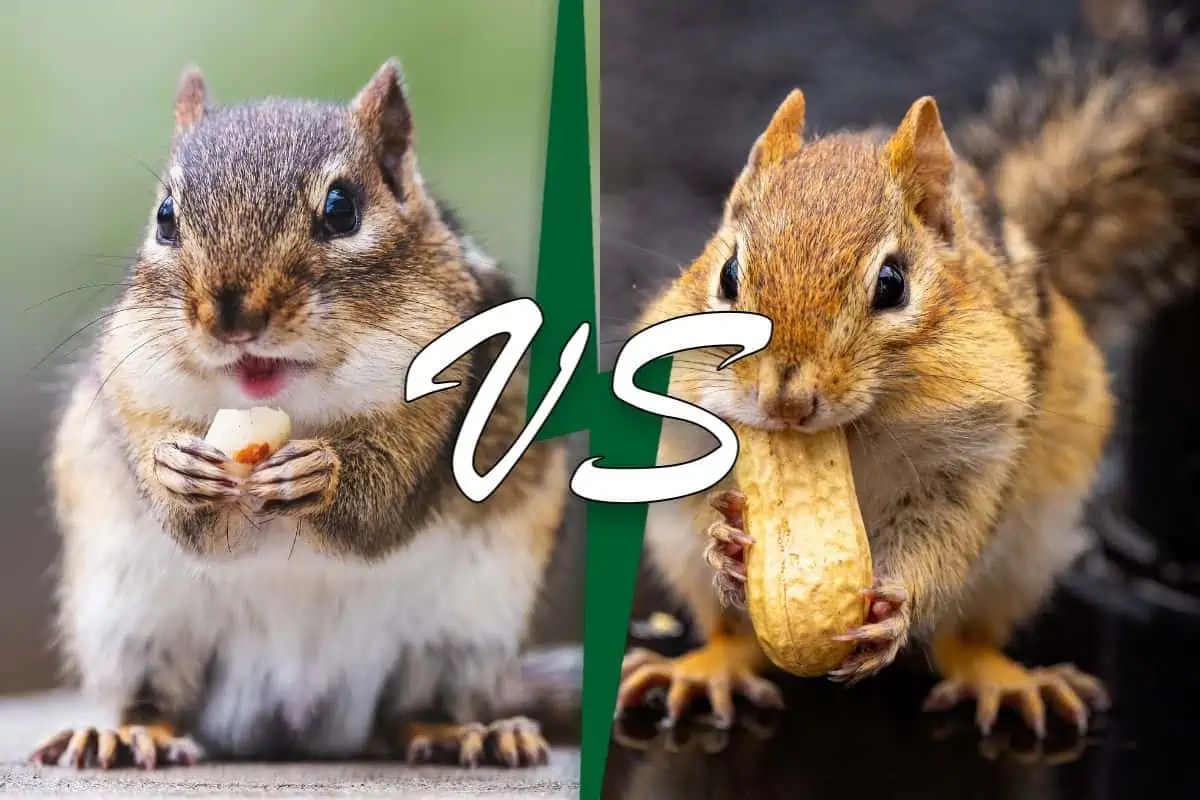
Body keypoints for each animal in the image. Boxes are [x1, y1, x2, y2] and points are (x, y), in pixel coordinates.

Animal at [30, 61, 575, 770]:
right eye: (165, 216)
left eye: (342, 210)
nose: (232, 315)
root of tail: (299, 717)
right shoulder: (134, 388)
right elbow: (188, 516)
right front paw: (174, 469)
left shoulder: (452, 402)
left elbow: (381, 504)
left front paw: (321, 475)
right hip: (130, 624)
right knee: (155, 701)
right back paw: (125, 733)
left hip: (463, 634)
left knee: (414, 710)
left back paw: (464, 733)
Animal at [616, 24, 1200, 738]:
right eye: (727, 275)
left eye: (892, 284)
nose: (785, 401)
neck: (853, 434)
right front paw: (727, 545)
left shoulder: (973, 457)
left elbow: (944, 537)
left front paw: (895, 610)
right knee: (734, 638)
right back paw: (705, 668)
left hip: (1024, 559)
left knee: (963, 642)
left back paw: (1004, 679)